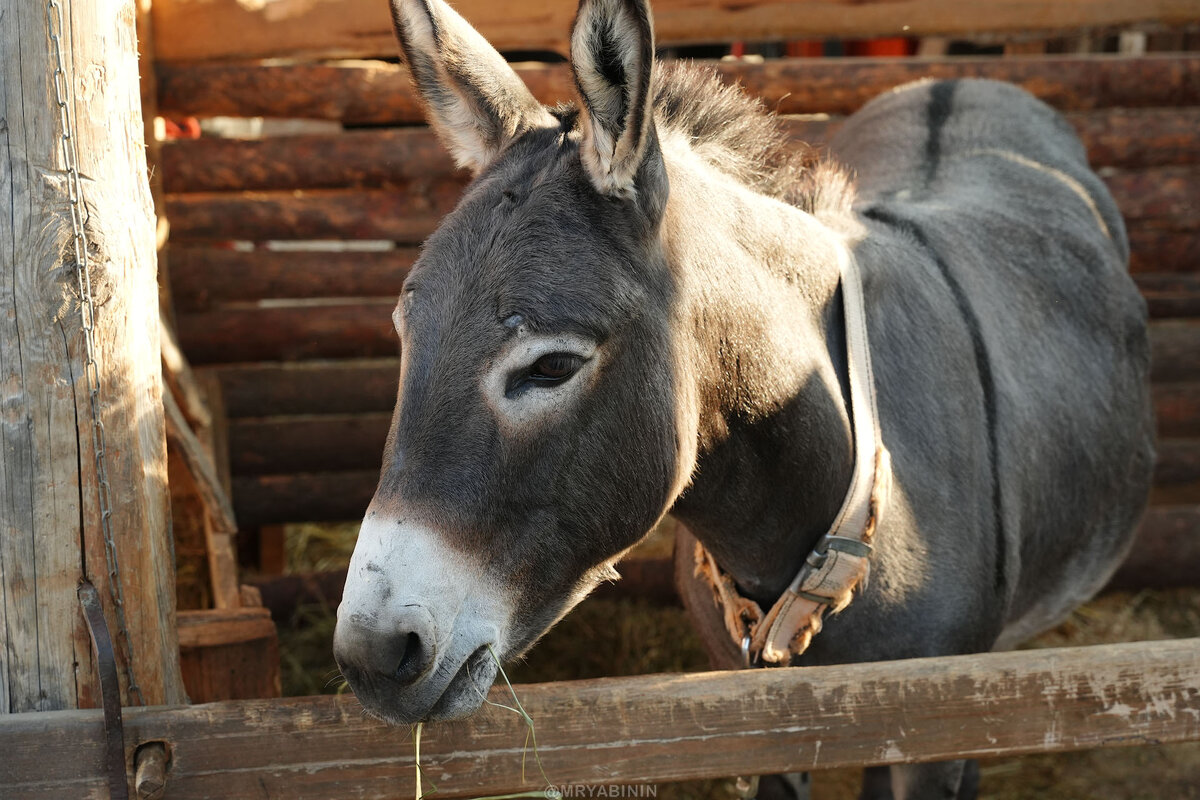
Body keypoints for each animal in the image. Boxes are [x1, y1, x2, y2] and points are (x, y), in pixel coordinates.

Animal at [332, 0, 1155, 796]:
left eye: (553, 366)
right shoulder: (753, 712)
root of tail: (965, 80)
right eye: (405, 332)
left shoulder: (931, 723)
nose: (373, 654)